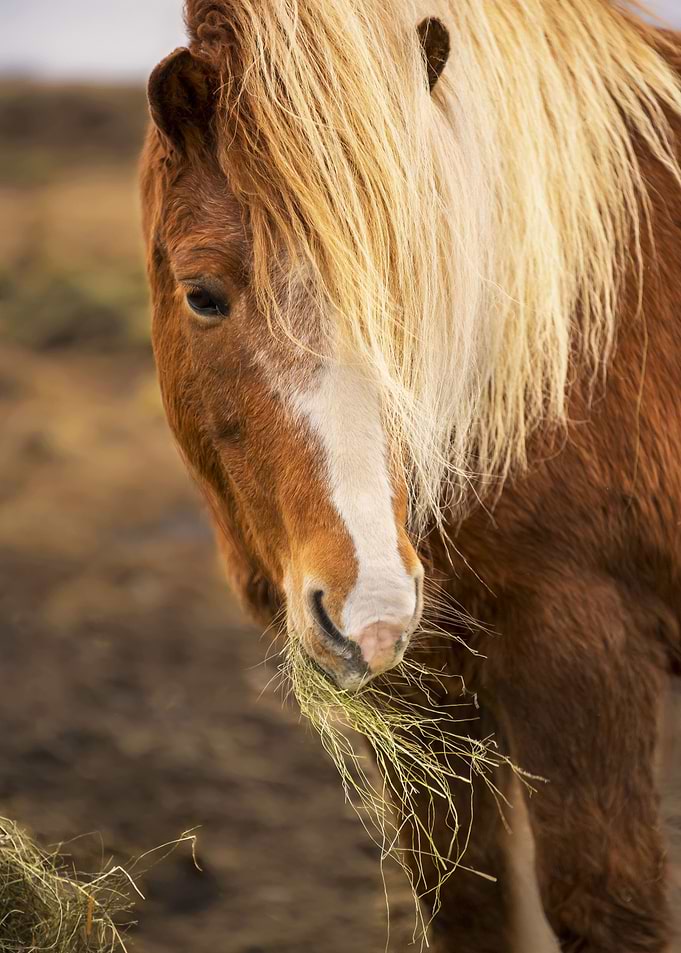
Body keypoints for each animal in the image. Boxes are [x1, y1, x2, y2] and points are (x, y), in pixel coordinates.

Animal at [140, 1, 681, 949]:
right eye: (202, 294)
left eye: (408, 291)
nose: (374, 607)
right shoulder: (425, 694)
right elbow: (469, 902)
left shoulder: (586, 646)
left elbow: (607, 904)